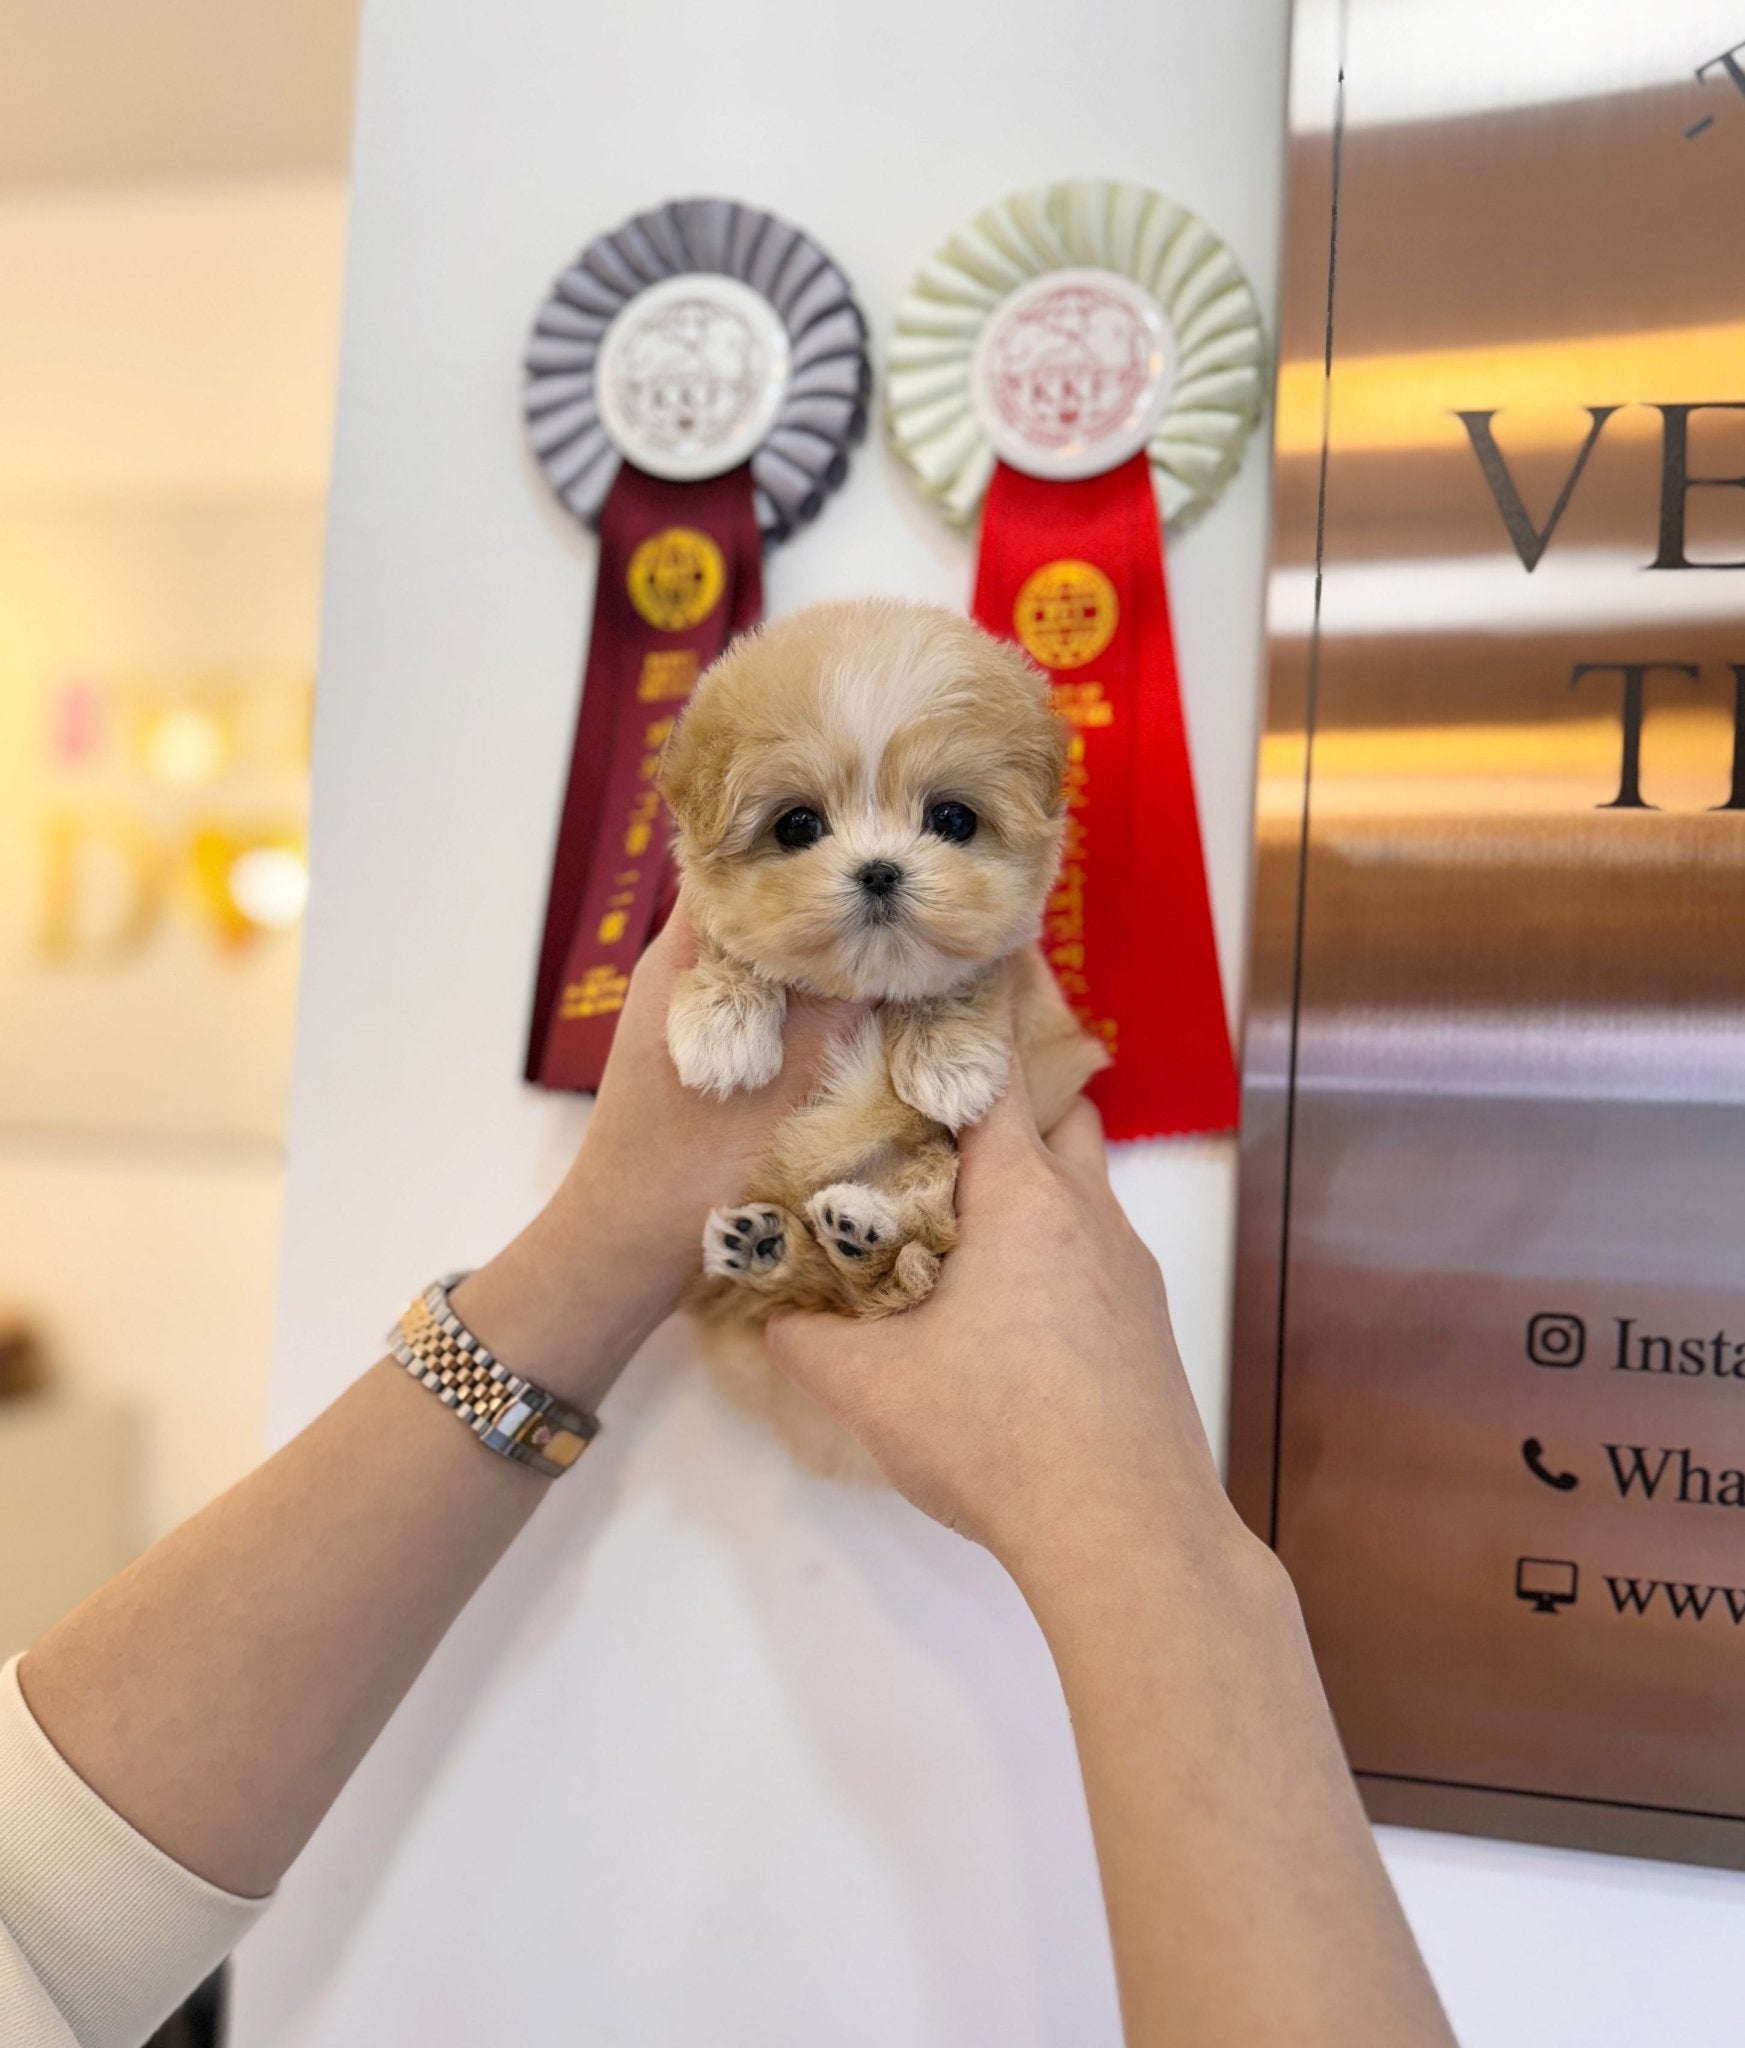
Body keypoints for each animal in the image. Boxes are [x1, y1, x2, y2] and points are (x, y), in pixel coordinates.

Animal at [655, 593, 1105, 1474]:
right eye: (797, 826)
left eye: (951, 819)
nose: (879, 870)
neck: (864, 985)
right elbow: (732, 948)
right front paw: (721, 1025)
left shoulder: (1016, 992)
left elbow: (962, 977)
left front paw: (947, 1060)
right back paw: (763, 1247)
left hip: (929, 1176)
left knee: (909, 1251)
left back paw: (858, 1230)